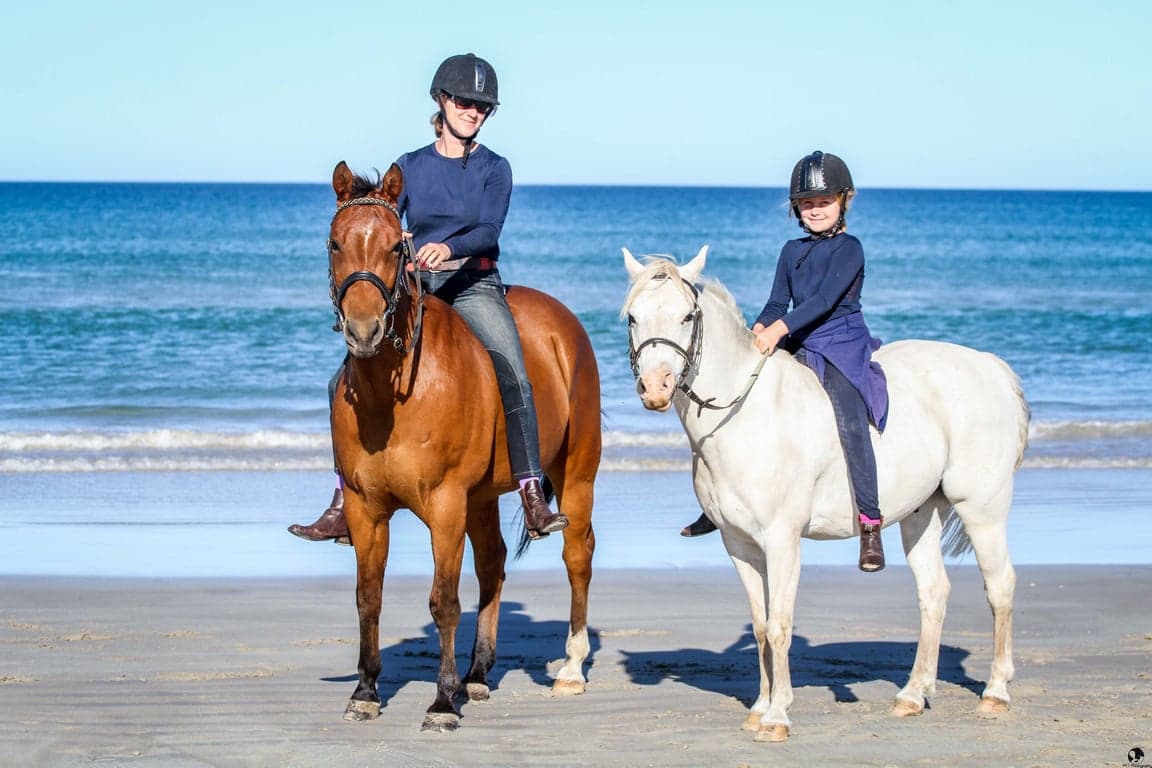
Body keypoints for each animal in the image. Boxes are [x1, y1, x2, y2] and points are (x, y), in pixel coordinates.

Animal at [325, 160, 601, 732]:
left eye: (396, 247)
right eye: (336, 244)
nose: (364, 331)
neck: (394, 394)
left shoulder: (446, 504)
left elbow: (444, 601)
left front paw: (441, 703)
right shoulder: (366, 509)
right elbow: (368, 597)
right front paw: (365, 691)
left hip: (576, 475)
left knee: (577, 555)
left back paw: (570, 669)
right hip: (482, 497)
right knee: (493, 564)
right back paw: (477, 674)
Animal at [622, 246, 1027, 743]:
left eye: (685, 316)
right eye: (634, 318)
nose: (655, 389)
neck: (743, 414)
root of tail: (991, 367)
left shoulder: (782, 539)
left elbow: (780, 624)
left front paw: (777, 716)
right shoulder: (738, 545)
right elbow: (761, 626)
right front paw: (760, 707)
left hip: (981, 508)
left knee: (1000, 586)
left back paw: (996, 692)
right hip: (920, 513)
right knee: (933, 592)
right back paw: (912, 695)